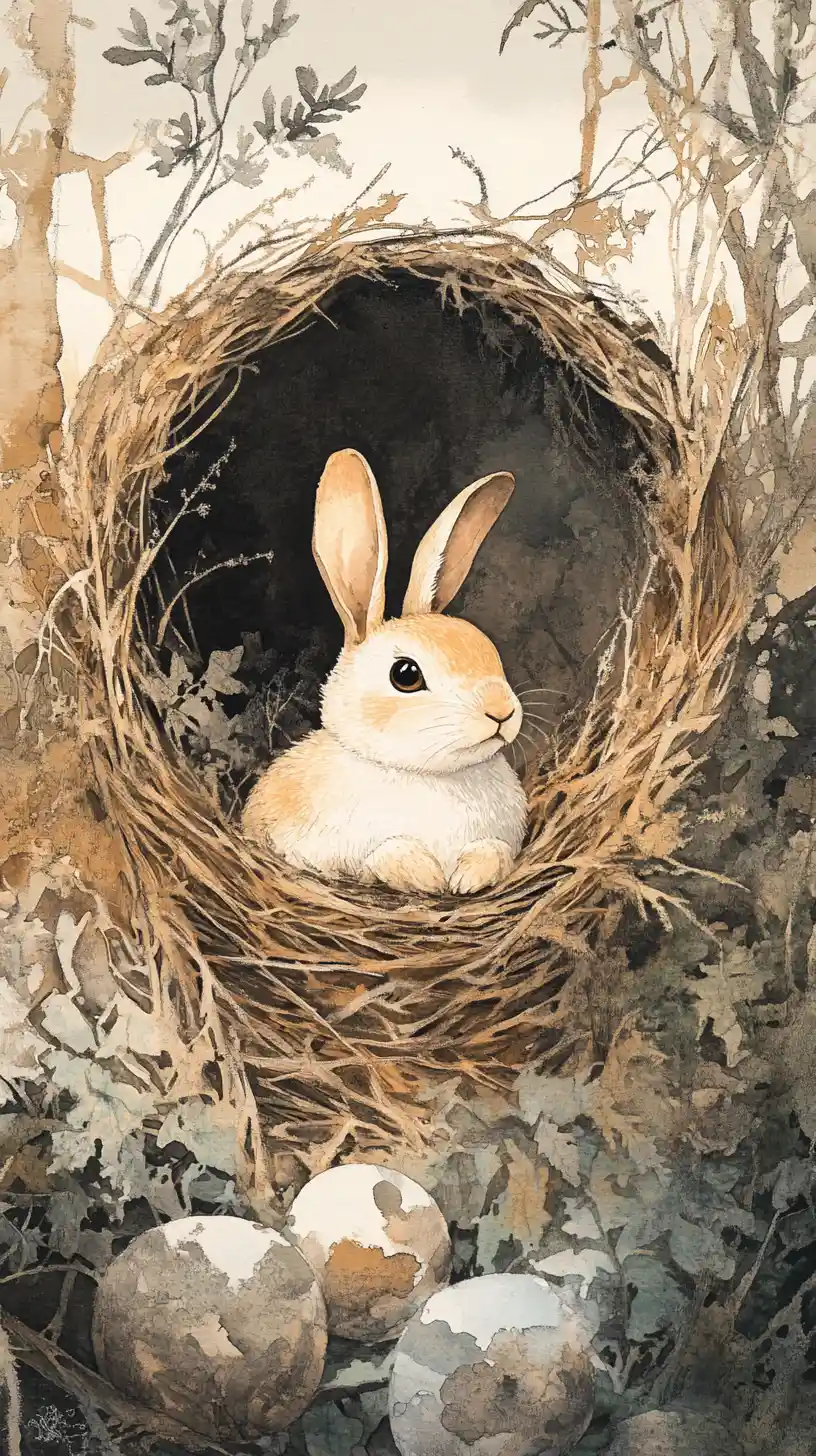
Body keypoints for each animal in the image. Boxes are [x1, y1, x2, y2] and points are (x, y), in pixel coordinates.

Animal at [242, 448, 528, 896]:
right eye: (406, 675)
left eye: (488, 649)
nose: (501, 711)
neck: (429, 775)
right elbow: (382, 854)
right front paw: (428, 876)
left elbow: (496, 850)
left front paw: (468, 877)